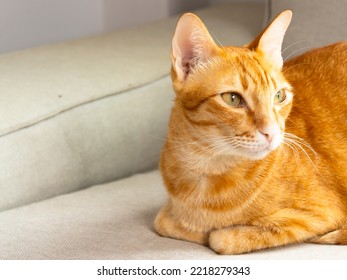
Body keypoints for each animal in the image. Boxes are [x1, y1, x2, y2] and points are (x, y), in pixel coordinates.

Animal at [156, 10, 347, 254]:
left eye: (279, 96)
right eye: (232, 98)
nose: (271, 132)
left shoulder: (318, 215)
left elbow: (220, 238)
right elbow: (163, 221)